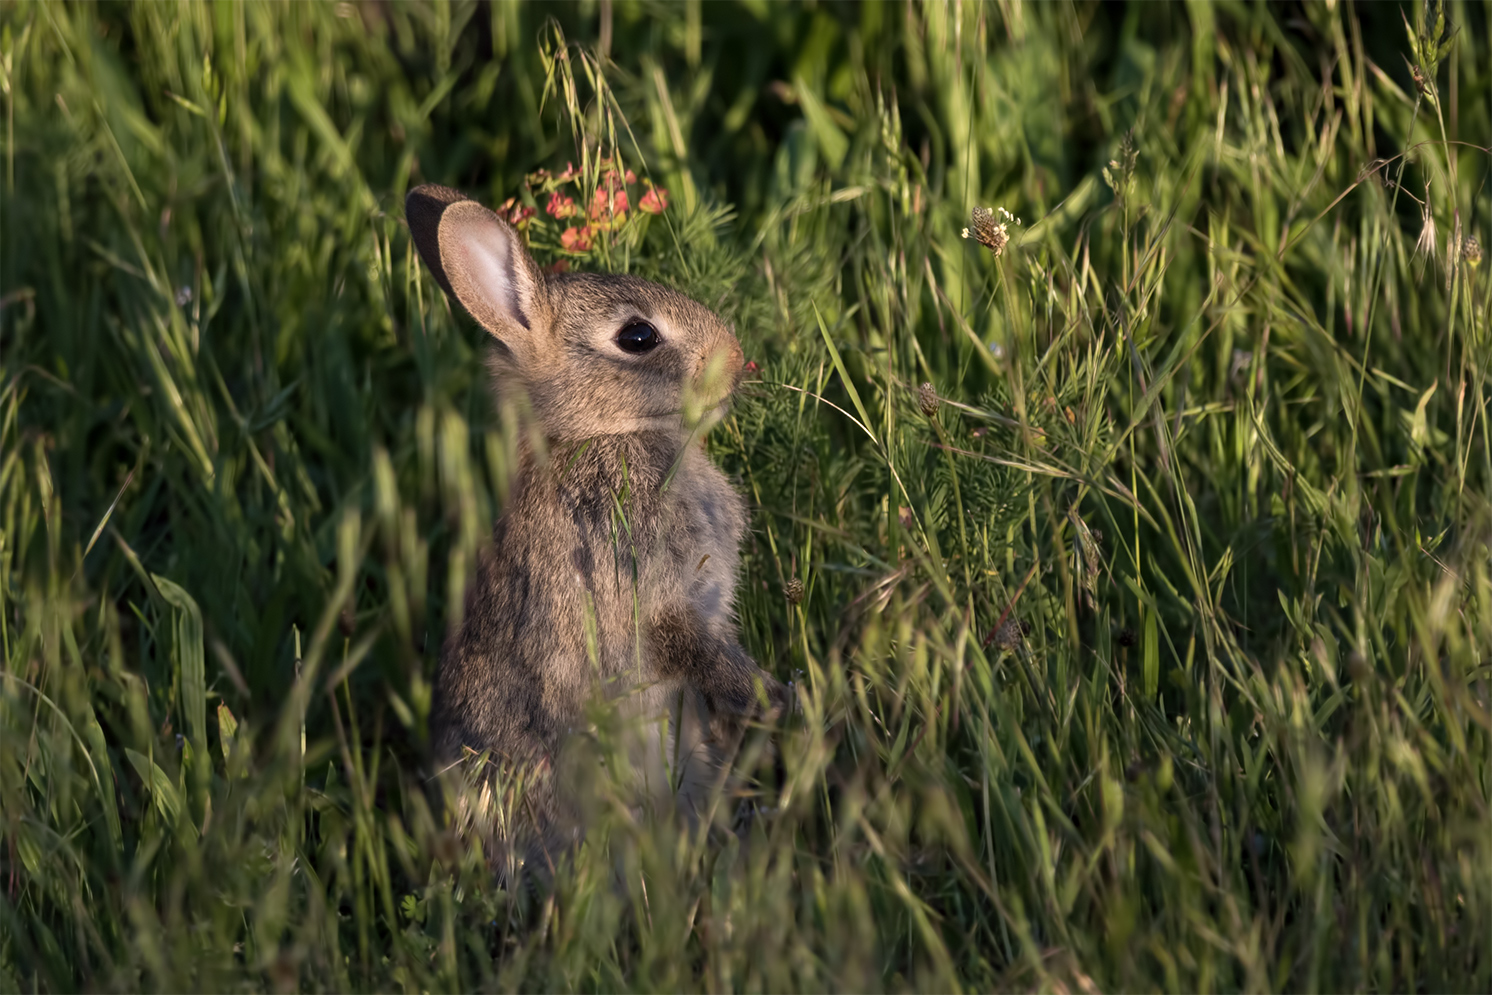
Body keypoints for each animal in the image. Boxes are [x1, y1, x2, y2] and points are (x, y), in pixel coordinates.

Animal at [402, 184, 787, 871]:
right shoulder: (648, 594)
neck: (598, 436)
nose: (736, 361)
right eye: (637, 336)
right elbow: (690, 645)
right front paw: (768, 697)